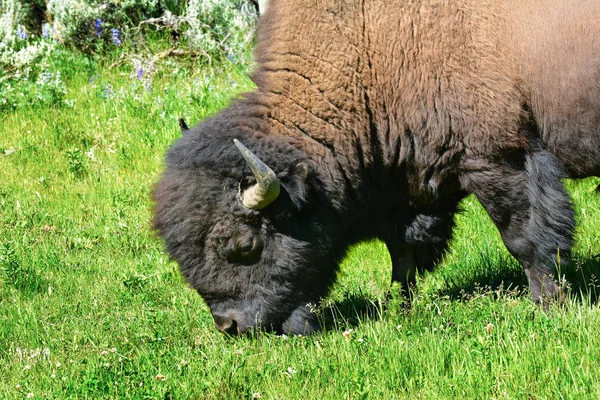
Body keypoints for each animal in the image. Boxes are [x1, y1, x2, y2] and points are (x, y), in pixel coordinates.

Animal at [155, 0, 600, 334]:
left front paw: (550, 306)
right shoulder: (407, 184)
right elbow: (402, 252)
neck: (370, 52)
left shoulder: (499, 161)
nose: (231, 326)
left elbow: (525, 238)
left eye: (245, 245)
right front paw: (398, 307)